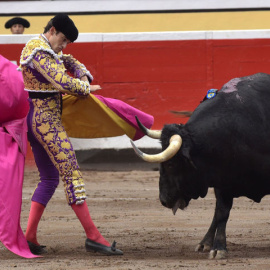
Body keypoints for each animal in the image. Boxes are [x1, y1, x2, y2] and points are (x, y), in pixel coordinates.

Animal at [131, 73, 270, 258]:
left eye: (171, 164)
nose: (164, 200)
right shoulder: (222, 181)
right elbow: (221, 212)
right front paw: (211, 245)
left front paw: (218, 248)